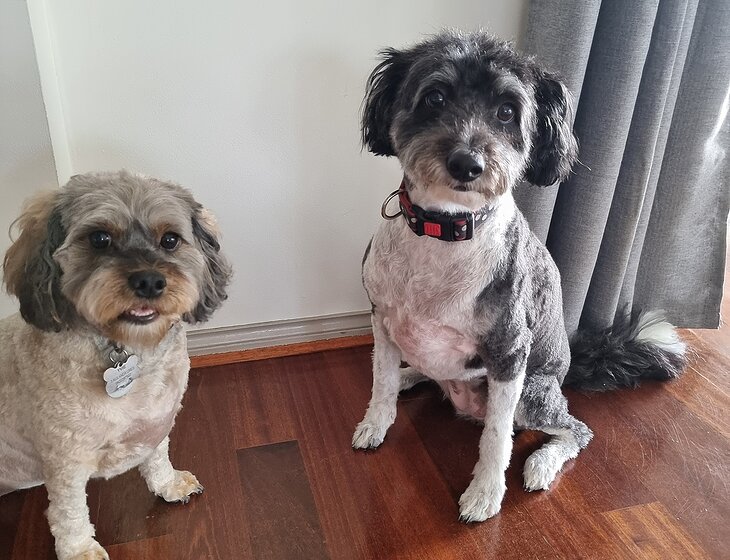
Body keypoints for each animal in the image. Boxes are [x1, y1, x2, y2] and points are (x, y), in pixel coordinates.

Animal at [0, 171, 231, 559]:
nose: (149, 281)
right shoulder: (65, 459)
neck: (128, 346)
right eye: (99, 238)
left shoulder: (158, 420)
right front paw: (79, 549)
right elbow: (69, 510)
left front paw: (168, 484)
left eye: (170, 239)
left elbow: (157, 457)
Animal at [353, 31, 686, 522]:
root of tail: (566, 372)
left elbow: (496, 438)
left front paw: (485, 495)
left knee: (575, 429)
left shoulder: (509, 351)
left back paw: (543, 463)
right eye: (434, 97)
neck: (446, 230)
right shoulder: (382, 318)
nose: (467, 163)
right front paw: (376, 422)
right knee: (411, 372)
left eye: (507, 111)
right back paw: (410, 374)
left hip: (533, 393)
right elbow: (381, 382)